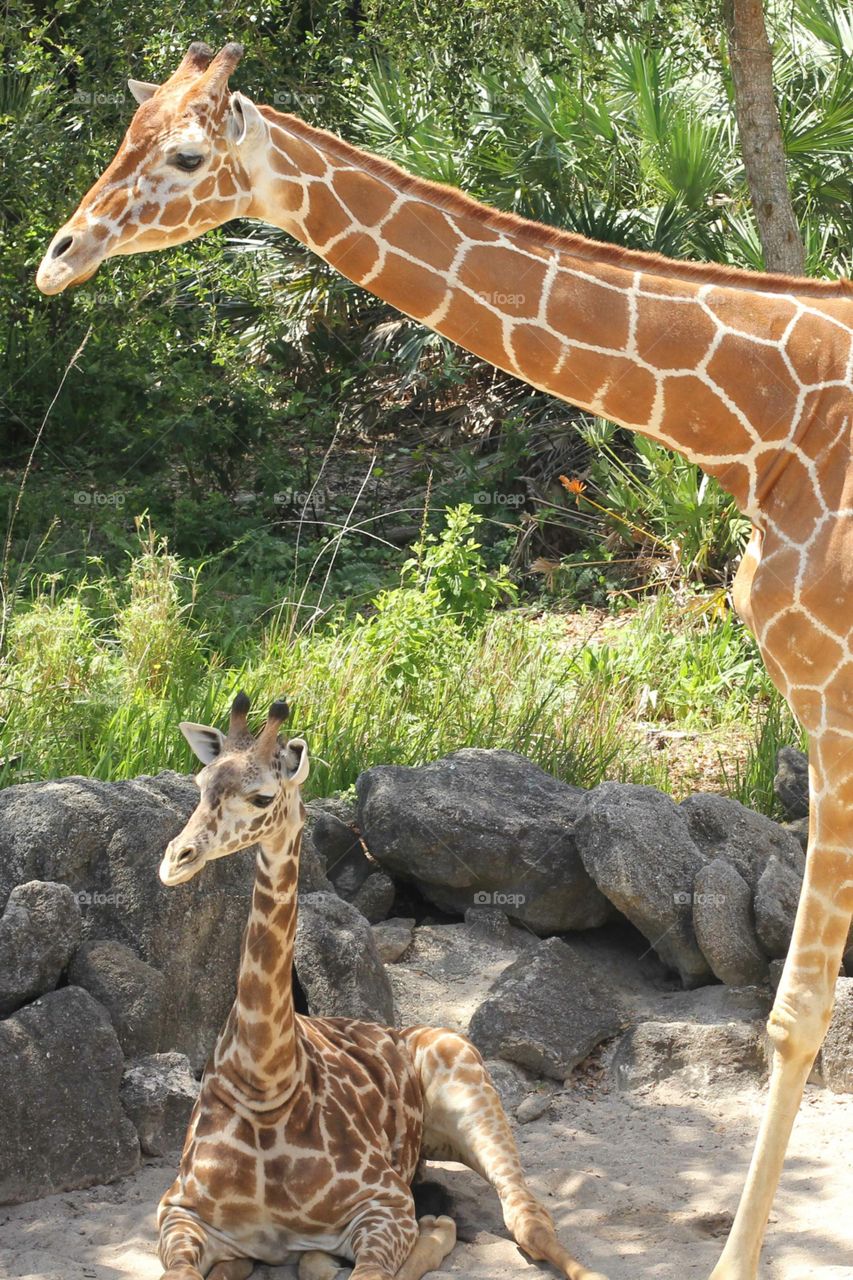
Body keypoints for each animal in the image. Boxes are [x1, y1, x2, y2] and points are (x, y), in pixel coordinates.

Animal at [155, 690, 603, 1280]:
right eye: (201, 783)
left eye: (261, 797)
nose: (174, 861)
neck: (265, 1082)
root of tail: (404, 1030)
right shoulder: (179, 1212)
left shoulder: (384, 1204)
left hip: (474, 1097)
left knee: (527, 1218)